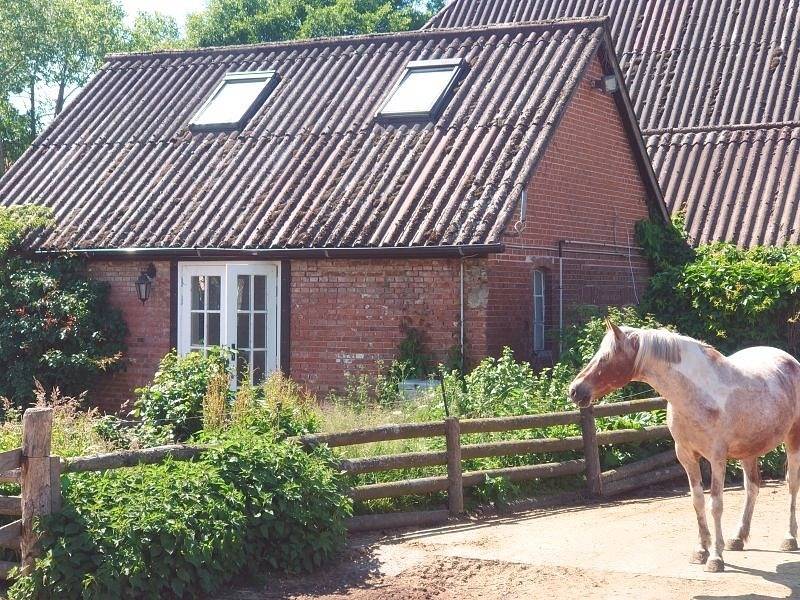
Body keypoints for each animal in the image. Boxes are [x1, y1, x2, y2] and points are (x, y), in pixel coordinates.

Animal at [568, 320, 800, 573]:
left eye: (605, 358)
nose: (574, 390)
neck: (697, 394)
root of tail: (790, 361)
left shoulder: (717, 459)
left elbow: (715, 504)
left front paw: (715, 557)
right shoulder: (687, 456)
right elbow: (697, 501)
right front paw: (700, 550)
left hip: (792, 440)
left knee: (791, 484)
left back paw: (789, 538)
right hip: (748, 451)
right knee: (752, 488)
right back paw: (737, 538)